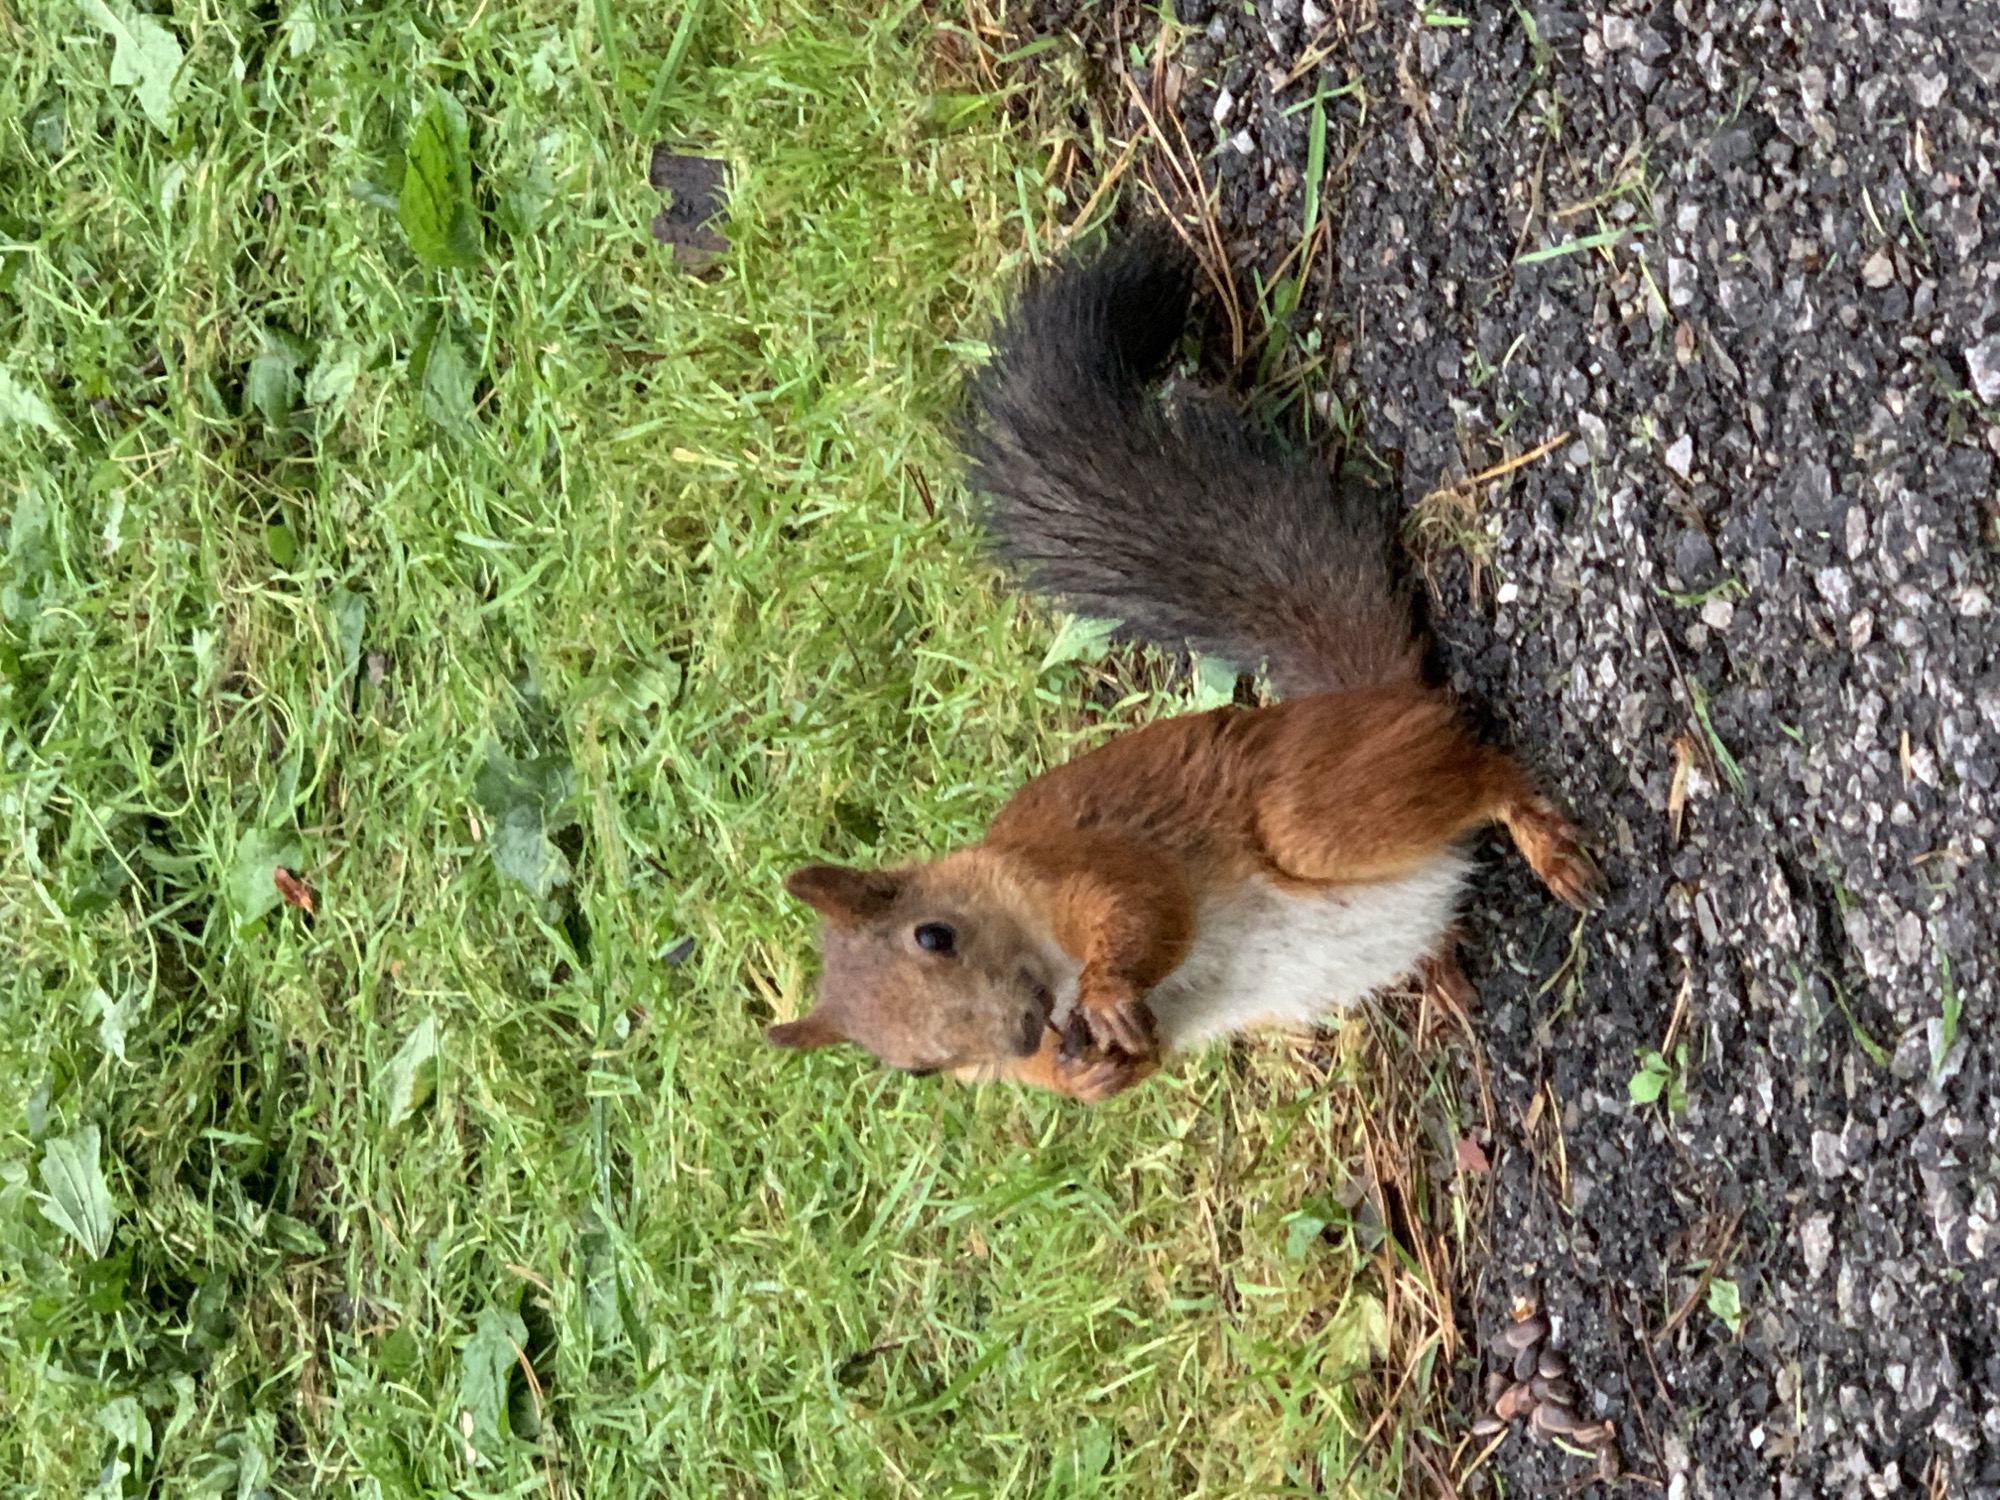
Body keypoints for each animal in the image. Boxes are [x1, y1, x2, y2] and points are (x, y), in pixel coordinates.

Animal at [768, 227, 1601, 1102]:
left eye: (935, 935)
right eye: (919, 1067)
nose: (1027, 1032)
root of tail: (1370, 698)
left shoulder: (1082, 863)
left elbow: (1144, 907)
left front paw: (1106, 990)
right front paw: (1090, 1075)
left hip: (1316, 812)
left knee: (1485, 772)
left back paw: (1543, 843)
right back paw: (1441, 982)